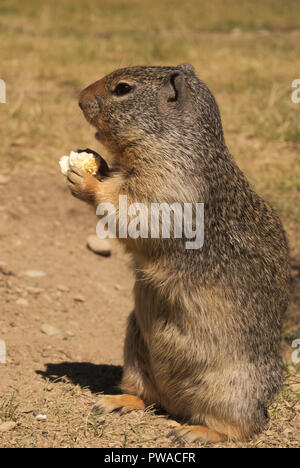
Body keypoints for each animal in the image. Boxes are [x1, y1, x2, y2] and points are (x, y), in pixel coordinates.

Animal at [66, 63, 290, 442]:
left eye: (123, 88)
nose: (80, 98)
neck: (171, 142)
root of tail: (177, 406)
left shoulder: (170, 184)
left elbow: (136, 212)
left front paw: (86, 179)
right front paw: (92, 162)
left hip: (233, 389)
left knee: (243, 428)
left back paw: (195, 432)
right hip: (134, 350)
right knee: (147, 398)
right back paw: (115, 401)